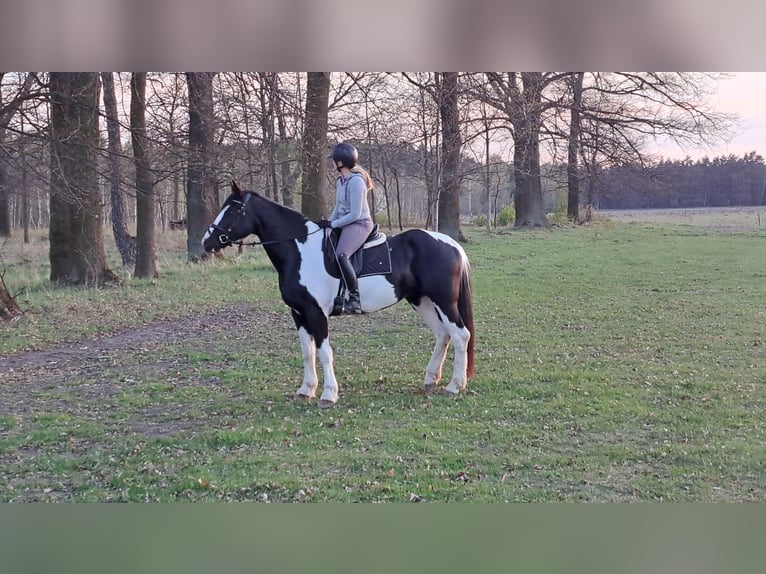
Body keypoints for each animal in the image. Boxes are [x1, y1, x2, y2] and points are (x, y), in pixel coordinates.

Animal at [203, 181, 475, 408]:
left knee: (460, 335)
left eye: (233, 210)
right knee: (443, 334)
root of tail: (450, 243)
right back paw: (431, 380)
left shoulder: (316, 313)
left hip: (443, 301)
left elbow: (324, 352)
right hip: (421, 300)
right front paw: (306, 390)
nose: (207, 242)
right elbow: (307, 352)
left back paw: (454, 386)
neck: (300, 251)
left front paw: (328, 394)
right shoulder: (298, 313)